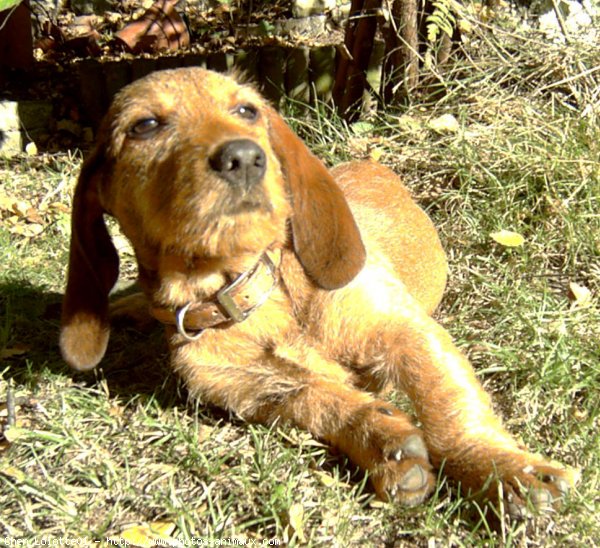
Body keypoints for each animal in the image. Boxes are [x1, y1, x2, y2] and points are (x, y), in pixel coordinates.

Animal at [61, 67, 576, 512]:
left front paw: (503, 470)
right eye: (145, 125)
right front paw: (382, 440)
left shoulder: (405, 330)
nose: (242, 157)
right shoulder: (256, 392)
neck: (254, 298)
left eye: (247, 110)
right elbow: (319, 397)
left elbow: (448, 409)